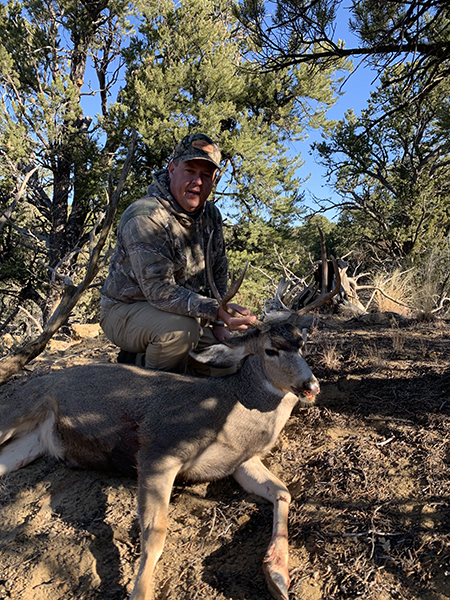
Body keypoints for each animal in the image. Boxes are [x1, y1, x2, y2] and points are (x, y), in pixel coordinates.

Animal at [0, 232, 338, 596]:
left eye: (301, 342)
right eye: (271, 350)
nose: (311, 385)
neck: (229, 415)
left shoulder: (240, 462)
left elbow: (283, 492)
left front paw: (277, 575)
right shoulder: (158, 449)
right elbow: (155, 532)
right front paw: (140, 592)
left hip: (32, 442)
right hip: (19, 408)